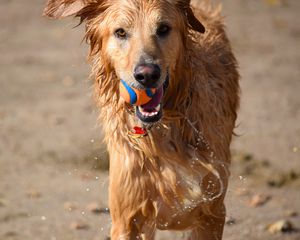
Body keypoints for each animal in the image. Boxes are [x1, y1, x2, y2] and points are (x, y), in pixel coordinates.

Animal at [43, 0, 239, 239]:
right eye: (120, 32)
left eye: (163, 28)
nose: (147, 74)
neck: (162, 132)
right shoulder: (127, 218)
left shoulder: (211, 212)